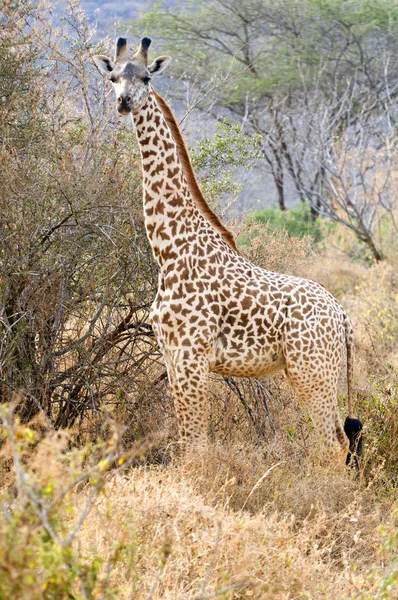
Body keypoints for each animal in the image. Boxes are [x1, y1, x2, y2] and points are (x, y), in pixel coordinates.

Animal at [95, 36, 362, 460]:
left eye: (147, 77)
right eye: (113, 77)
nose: (124, 102)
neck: (168, 249)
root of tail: (342, 317)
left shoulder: (190, 355)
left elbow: (194, 445)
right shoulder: (171, 354)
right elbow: (188, 442)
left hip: (311, 372)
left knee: (333, 444)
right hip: (316, 371)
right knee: (342, 438)